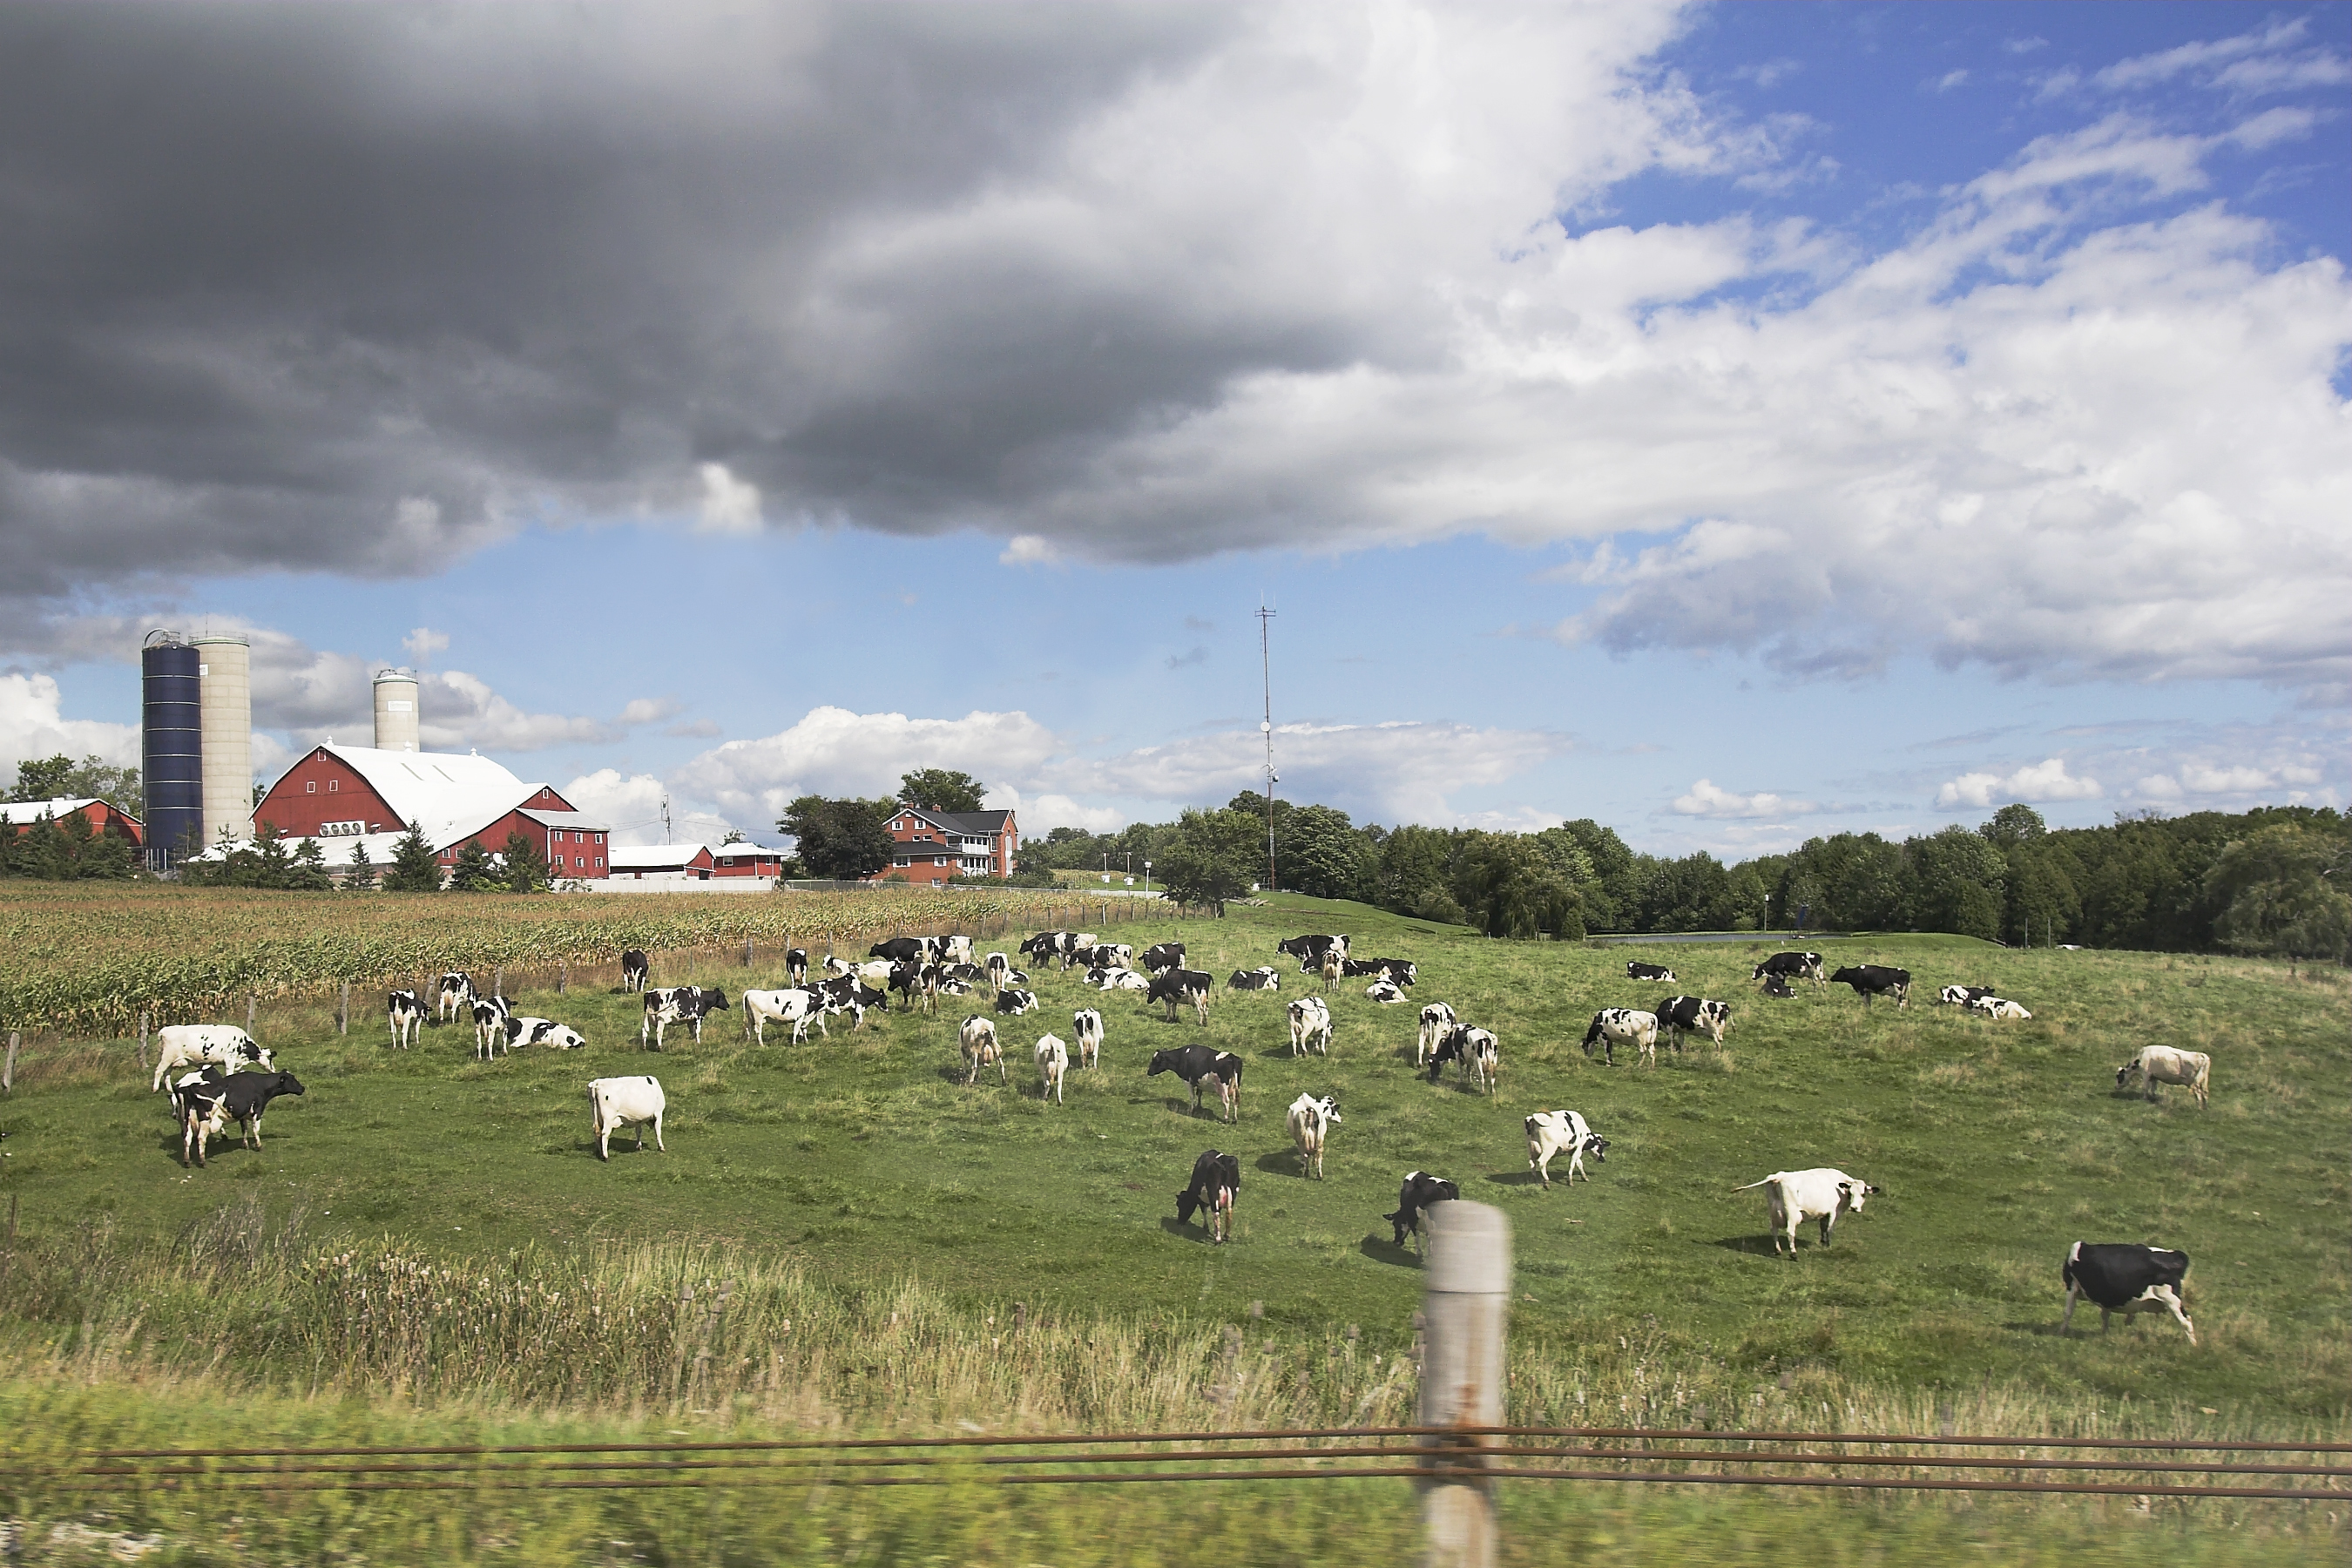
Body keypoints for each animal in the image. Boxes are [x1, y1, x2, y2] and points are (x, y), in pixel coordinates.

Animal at [150, 1024, 274, 1099]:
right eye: (271, 1059)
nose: (273, 1071)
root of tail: (164, 1030)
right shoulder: (230, 1059)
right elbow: (230, 1074)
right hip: (168, 1057)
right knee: (159, 1071)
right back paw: (155, 1089)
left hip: (171, 1060)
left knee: (166, 1073)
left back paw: (170, 1089)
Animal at [179, 1071, 306, 1170]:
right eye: (292, 1079)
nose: (302, 1088)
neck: (260, 1085)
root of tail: (192, 1087)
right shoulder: (258, 1110)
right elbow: (255, 1129)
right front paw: (259, 1146)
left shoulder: (242, 1114)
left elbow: (244, 1128)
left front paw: (245, 1145)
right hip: (205, 1120)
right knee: (201, 1138)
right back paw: (202, 1162)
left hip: (187, 1119)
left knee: (187, 1138)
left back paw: (186, 1161)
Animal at [1740, 1166, 1882, 1260]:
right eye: (1851, 1193)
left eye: (1863, 1194)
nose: (1854, 1208)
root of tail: (1780, 1175)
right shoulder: (1834, 1212)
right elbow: (1829, 1229)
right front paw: (1828, 1245)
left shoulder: (1824, 1213)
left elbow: (1823, 1228)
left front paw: (1823, 1242)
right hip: (1791, 1211)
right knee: (1790, 1231)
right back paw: (1794, 1254)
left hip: (1774, 1211)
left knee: (1773, 1229)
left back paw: (1778, 1251)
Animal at [2070, 1240, 2192, 1344]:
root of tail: (2174, 1254)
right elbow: (2105, 1316)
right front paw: (2105, 1334)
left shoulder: (2072, 1286)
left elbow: (2068, 1312)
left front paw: (2064, 1332)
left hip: (2171, 1300)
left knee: (2186, 1322)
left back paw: (2192, 1345)